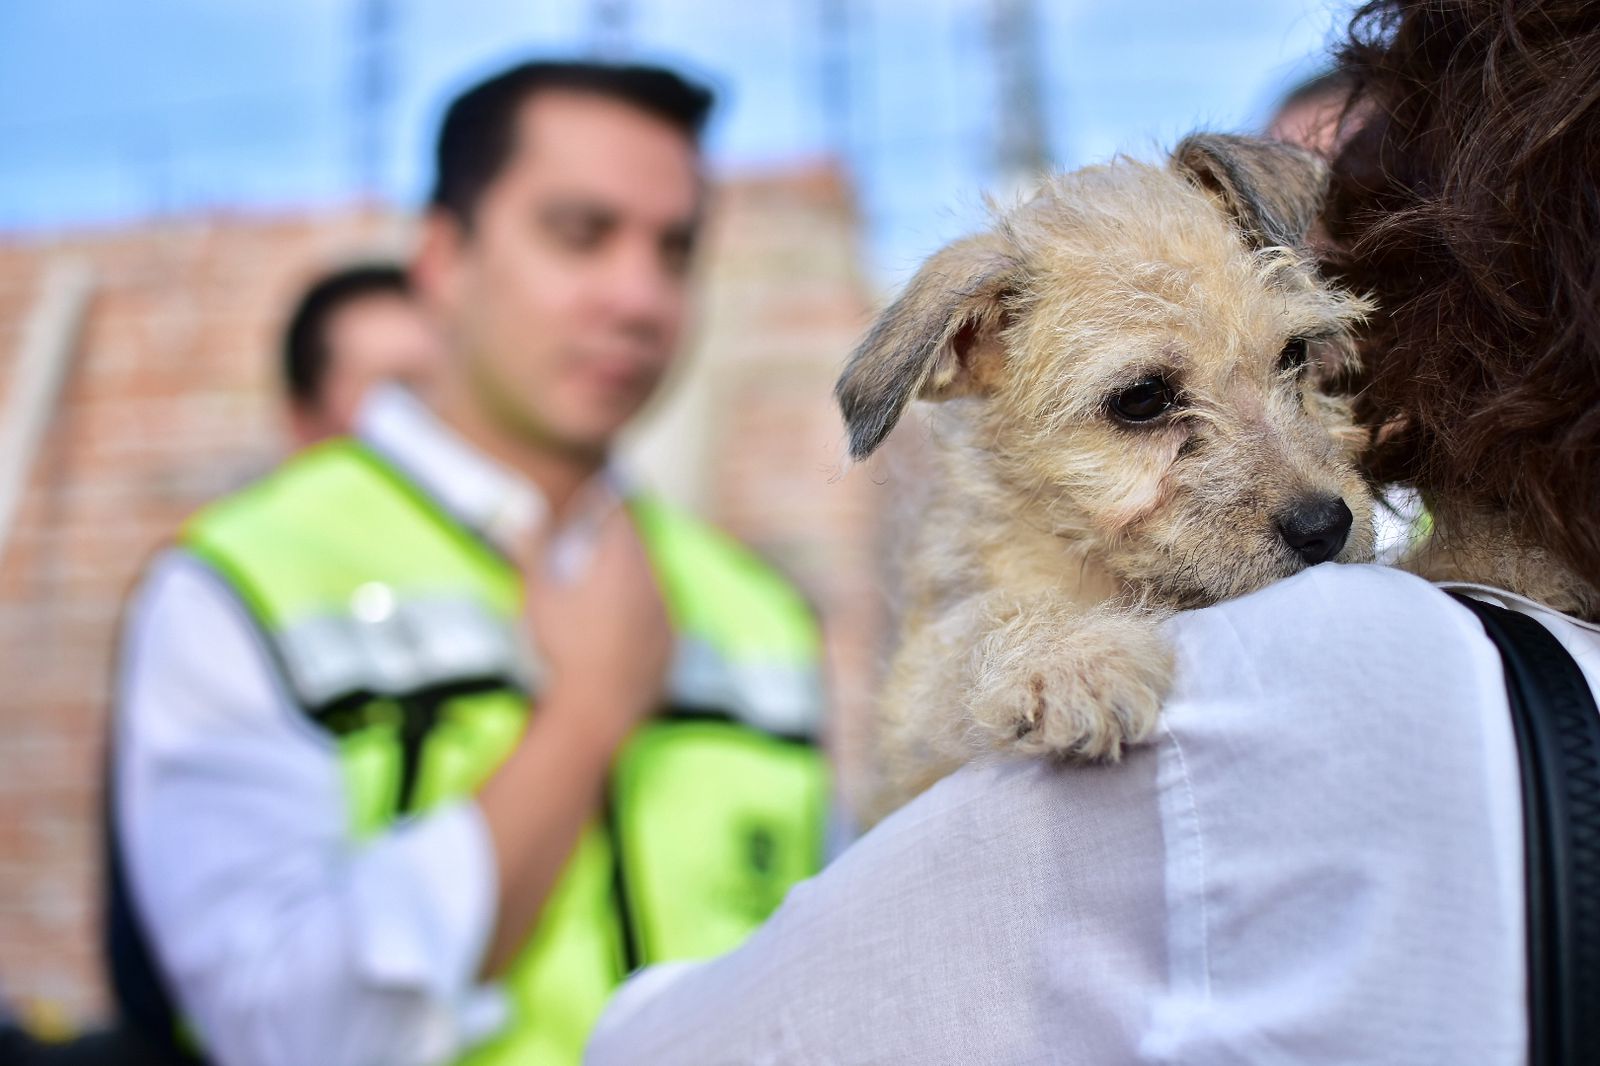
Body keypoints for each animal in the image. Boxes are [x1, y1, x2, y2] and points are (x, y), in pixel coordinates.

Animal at [844, 132, 1382, 813]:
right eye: (1142, 398)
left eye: (1294, 353)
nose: (1326, 526)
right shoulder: (917, 712)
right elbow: (983, 624)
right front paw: (1075, 660)